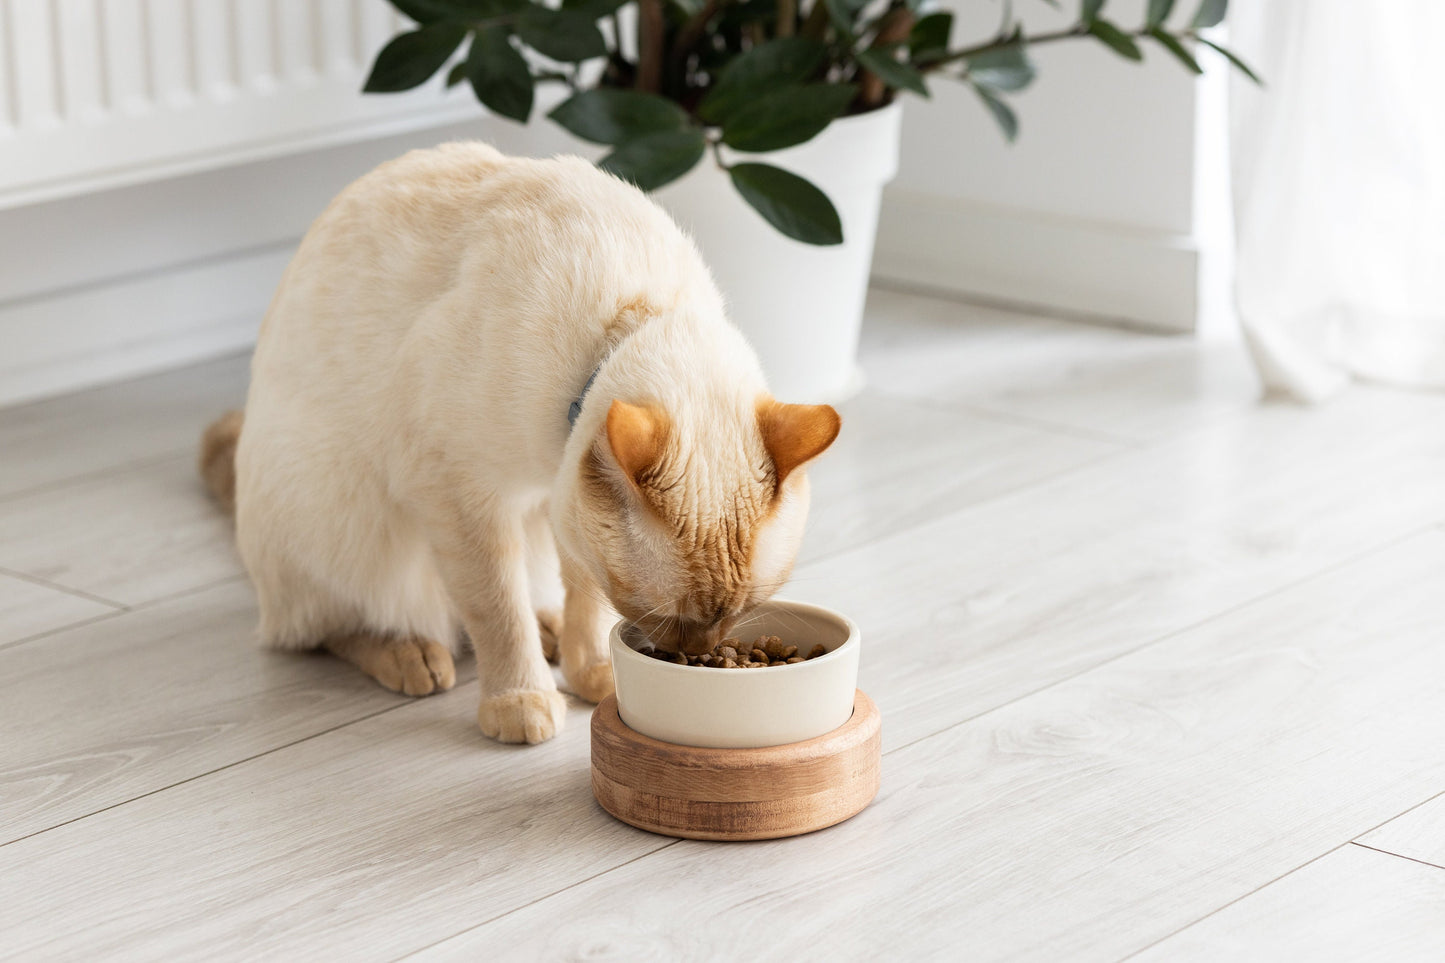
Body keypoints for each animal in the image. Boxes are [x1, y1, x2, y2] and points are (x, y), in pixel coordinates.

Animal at [197, 140, 843, 740]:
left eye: (741, 614)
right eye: (661, 617)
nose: (698, 654)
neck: (627, 316)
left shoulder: (565, 501)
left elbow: (583, 596)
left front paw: (590, 674)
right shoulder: (463, 496)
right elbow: (496, 611)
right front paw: (521, 702)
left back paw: (547, 630)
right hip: (341, 517)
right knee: (325, 627)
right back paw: (414, 655)